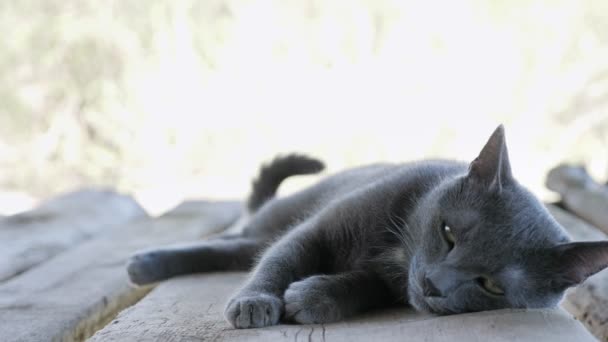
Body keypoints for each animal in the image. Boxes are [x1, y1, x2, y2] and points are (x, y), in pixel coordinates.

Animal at [127, 125, 608, 328]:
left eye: (490, 285)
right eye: (448, 233)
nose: (433, 284)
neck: (398, 246)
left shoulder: (390, 282)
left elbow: (362, 285)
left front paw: (315, 297)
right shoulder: (318, 230)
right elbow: (280, 261)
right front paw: (255, 302)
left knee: (241, 249)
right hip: (280, 215)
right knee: (240, 242)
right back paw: (144, 264)